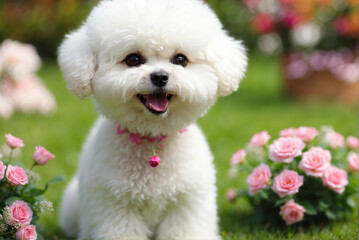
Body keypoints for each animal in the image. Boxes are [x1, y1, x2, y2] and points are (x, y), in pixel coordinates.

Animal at [58, 0, 248, 239]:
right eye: (133, 59)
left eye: (180, 59)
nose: (159, 76)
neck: (152, 137)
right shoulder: (116, 208)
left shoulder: (186, 204)